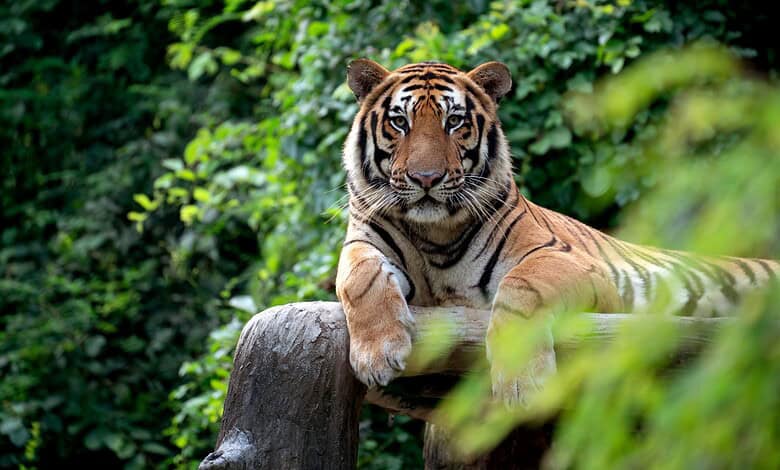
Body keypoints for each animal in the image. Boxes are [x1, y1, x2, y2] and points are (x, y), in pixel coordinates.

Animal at [335, 59, 779, 406]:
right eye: (400, 122)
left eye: (454, 122)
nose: (426, 178)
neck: (434, 234)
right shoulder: (362, 242)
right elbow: (359, 278)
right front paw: (378, 354)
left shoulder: (572, 262)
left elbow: (520, 285)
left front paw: (521, 384)